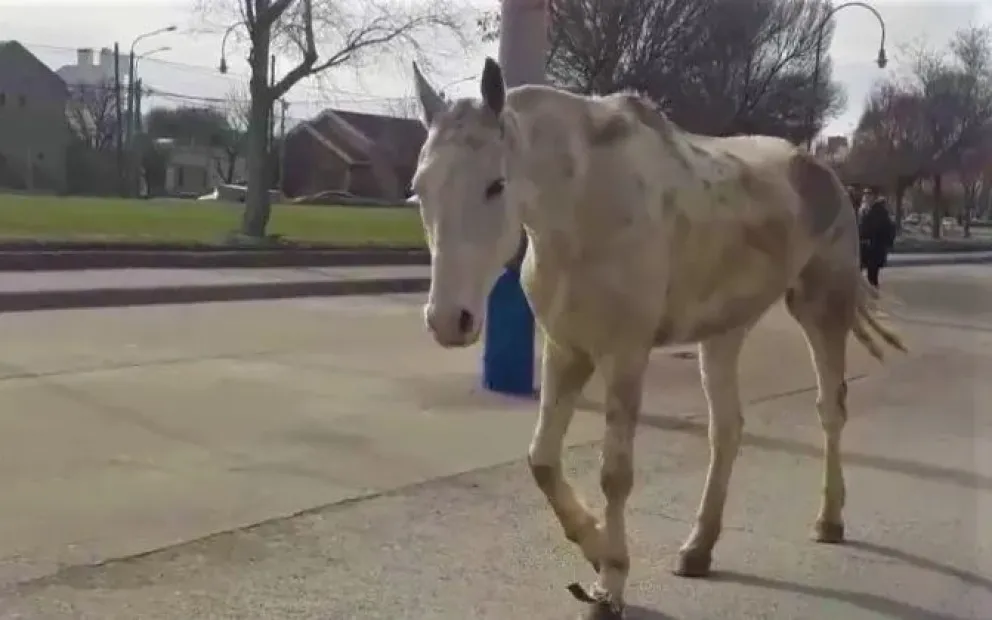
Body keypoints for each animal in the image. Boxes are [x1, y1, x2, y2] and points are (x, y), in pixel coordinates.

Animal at [408, 57, 907, 619]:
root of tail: (826, 175)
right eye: (420, 188)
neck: (585, 205)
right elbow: (542, 460)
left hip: (821, 310)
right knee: (727, 429)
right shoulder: (567, 350)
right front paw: (595, 549)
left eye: (495, 185)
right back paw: (698, 548)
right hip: (723, 331)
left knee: (830, 409)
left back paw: (829, 519)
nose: (448, 320)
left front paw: (610, 581)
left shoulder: (625, 355)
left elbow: (615, 474)